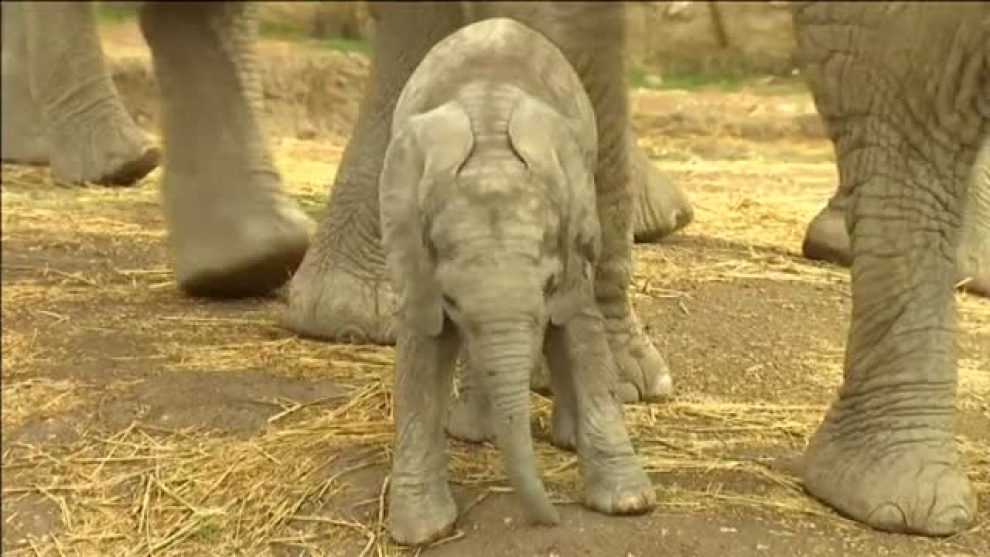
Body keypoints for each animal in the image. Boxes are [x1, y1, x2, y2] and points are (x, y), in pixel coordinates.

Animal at [381, 19, 655, 544]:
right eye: (451, 300)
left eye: (547, 286)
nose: (551, 520)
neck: (489, 138)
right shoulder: (415, 251)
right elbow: (423, 347)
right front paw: (421, 531)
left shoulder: (573, 225)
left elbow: (580, 331)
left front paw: (630, 504)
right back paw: (474, 431)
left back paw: (563, 439)